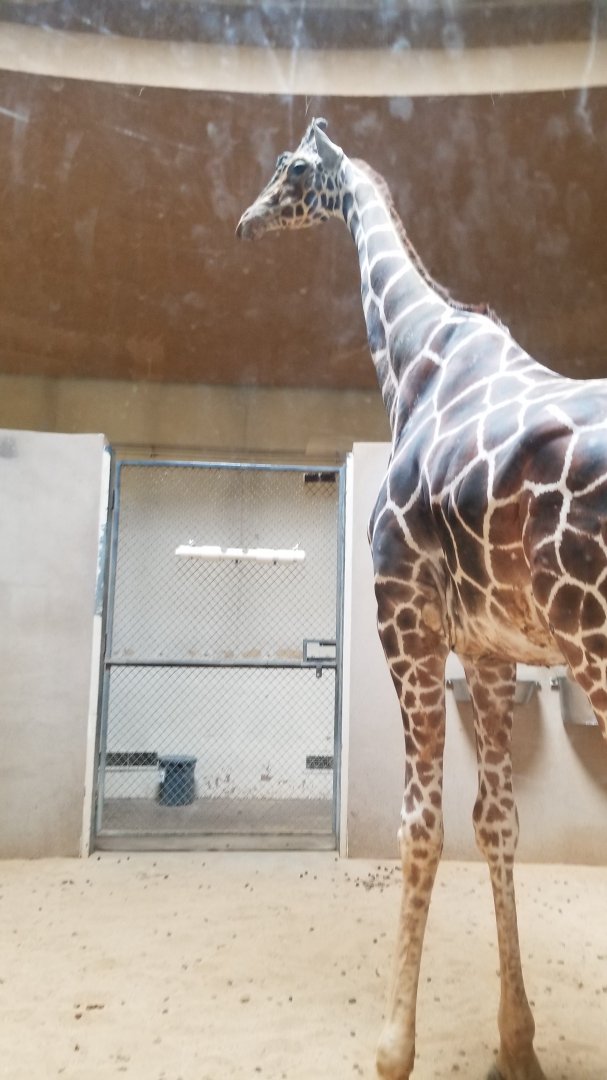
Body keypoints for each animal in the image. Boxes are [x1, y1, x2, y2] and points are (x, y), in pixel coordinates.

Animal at [236, 118, 607, 1080]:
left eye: (292, 168)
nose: (247, 220)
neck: (412, 361)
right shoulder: (489, 650)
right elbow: (496, 822)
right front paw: (516, 1044)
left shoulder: (401, 614)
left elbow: (420, 823)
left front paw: (391, 1048)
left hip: (594, 640)